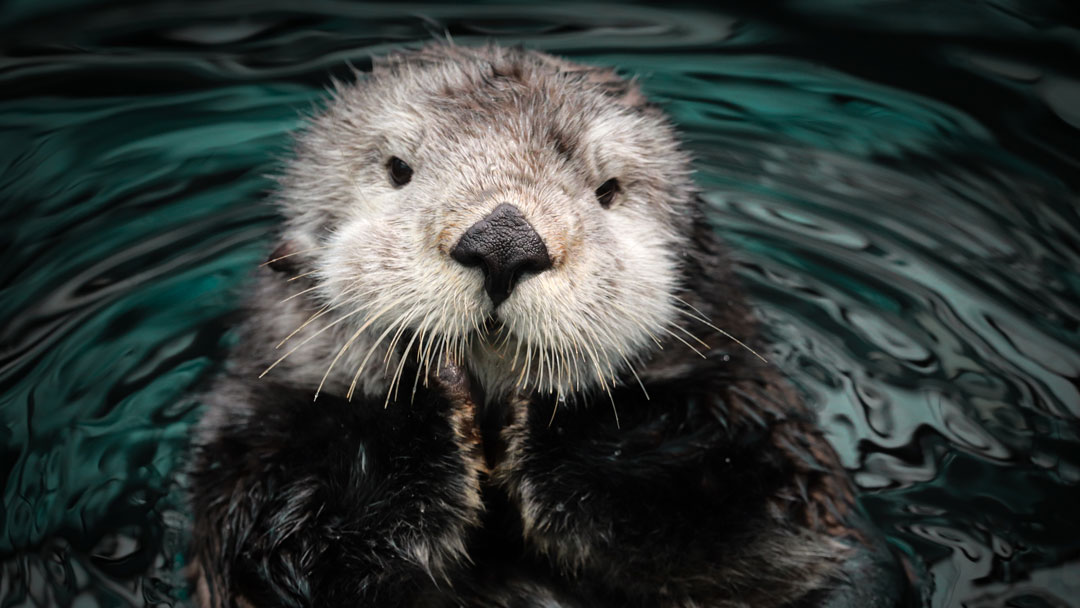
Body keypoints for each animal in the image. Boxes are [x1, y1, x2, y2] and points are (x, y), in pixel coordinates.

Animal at [187, 44, 911, 608]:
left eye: (608, 189)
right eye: (398, 170)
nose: (504, 242)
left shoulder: (758, 435)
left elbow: (746, 530)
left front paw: (552, 398)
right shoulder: (255, 442)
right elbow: (290, 547)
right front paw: (428, 382)